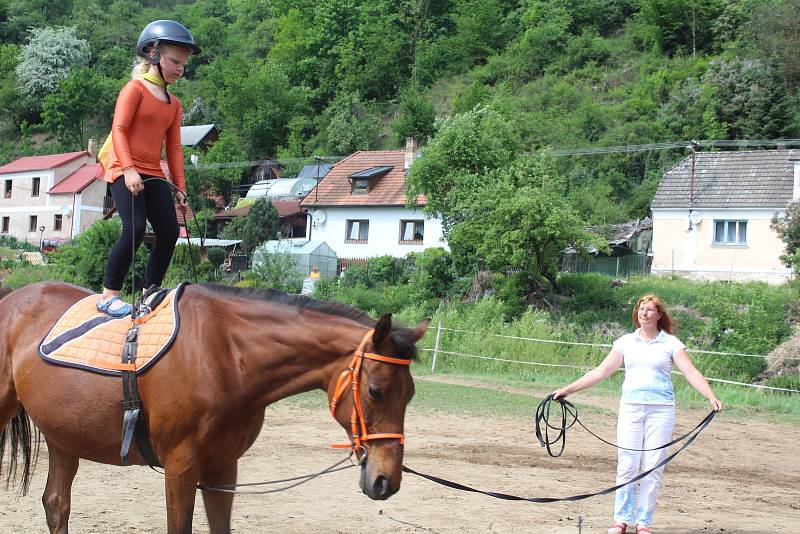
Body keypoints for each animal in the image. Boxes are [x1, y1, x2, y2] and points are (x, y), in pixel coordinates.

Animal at [0, 282, 424, 532]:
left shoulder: (223, 467)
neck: (227, 354)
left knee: (56, 504)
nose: (386, 480)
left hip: (64, 436)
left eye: (411, 394)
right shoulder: (181, 467)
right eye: (376, 391)